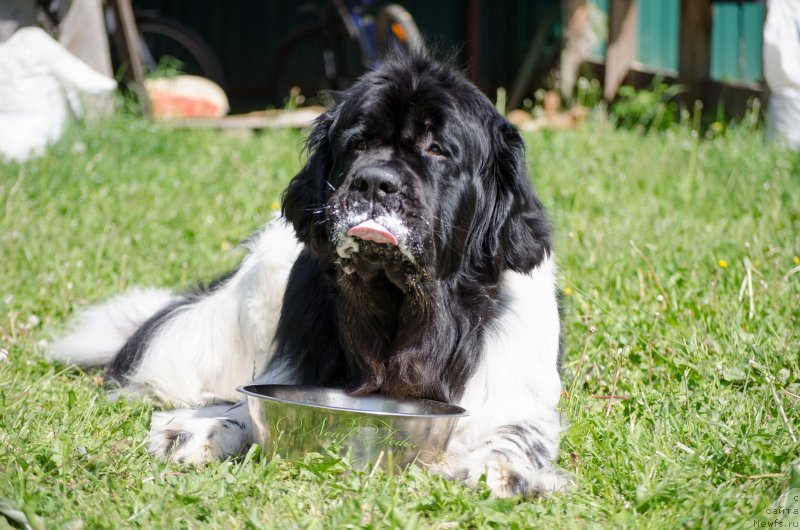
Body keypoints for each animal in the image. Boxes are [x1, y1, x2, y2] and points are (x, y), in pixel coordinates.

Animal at [50, 55, 564, 498]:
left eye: (436, 149)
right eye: (357, 144)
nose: (374, 182)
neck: (400, 310)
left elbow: (518, 429)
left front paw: (501, 467)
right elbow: (249, 398)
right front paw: (200, 427)